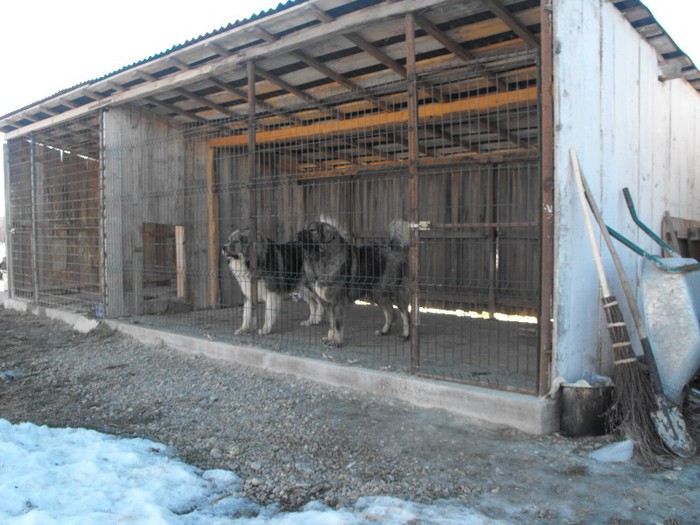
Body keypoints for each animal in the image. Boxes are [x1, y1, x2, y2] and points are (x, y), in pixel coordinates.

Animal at [296, 218, 410, 346]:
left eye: (312, 230)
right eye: (304, 228)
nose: (298, 234)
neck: (322, 258)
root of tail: (393, 248)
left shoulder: (338, 301)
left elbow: (337, 324)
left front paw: (337, 342)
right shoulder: (329, 303)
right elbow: (331, 325)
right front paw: (330, 339)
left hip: (392, 291)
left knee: (405, 314)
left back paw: (406, 336)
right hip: (377, 294)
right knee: (391, 312)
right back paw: (384, 331)